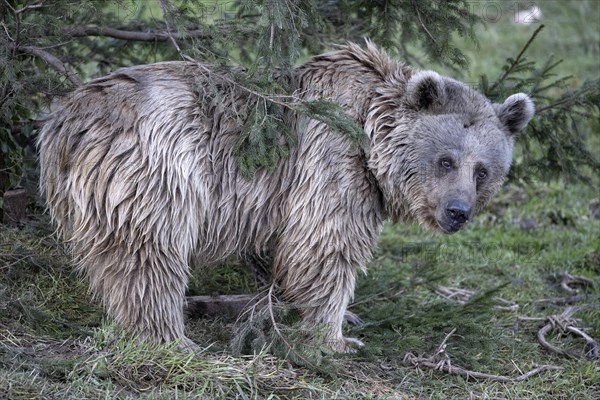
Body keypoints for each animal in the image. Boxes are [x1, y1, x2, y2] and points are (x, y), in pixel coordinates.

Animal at [37, 41, 536, 354]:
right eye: (446, 160)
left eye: (483, 170)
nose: (458, 211)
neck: (371, 132)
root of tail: (65, 120)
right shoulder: (329, 161)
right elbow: (326, 245)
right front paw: (337, 337)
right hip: (157, 169)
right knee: (150, 252)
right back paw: (171, 337)